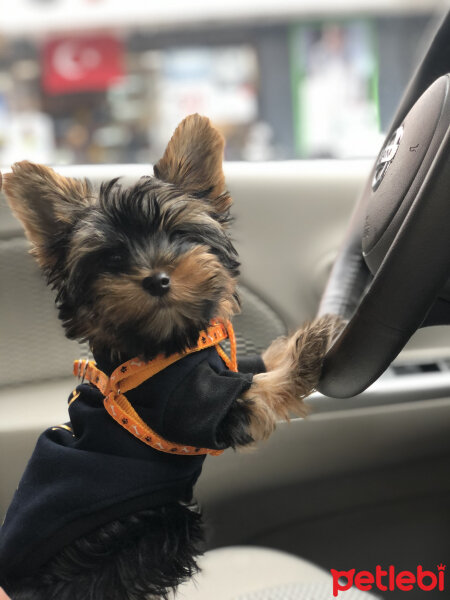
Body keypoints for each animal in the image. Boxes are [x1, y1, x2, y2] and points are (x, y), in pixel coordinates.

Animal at [0, 113, 342, 600]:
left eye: (180, 235)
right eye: (112, 258)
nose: (156, 278)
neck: (159, 346)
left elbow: (253, 369)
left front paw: (286, 345)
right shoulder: (195, 405)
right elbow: (260, 391)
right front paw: (313, 344)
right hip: (133, 533)